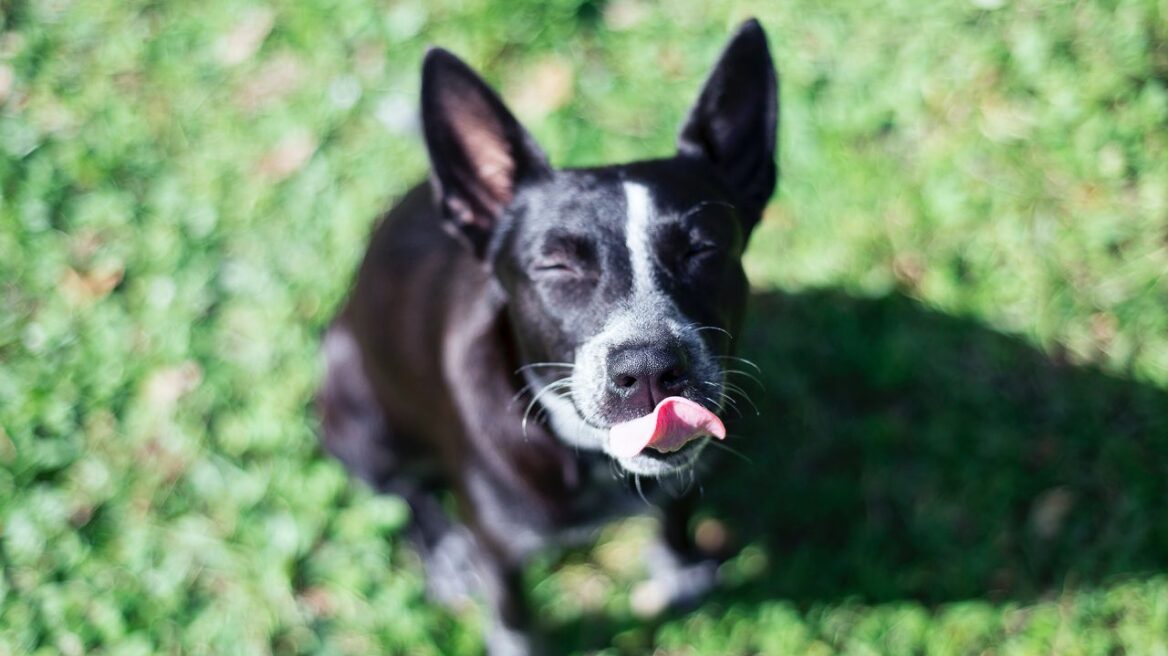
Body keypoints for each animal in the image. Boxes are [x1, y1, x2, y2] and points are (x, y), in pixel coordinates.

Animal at [315, 17, 780, 648]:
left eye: (703, 249)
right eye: (557, 266)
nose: (649, 368)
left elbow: (675, 509)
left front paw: (680, 568)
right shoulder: (498, 545)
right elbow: (513, 614)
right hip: (355, 408)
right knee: (400, 488)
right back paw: (442, 552)